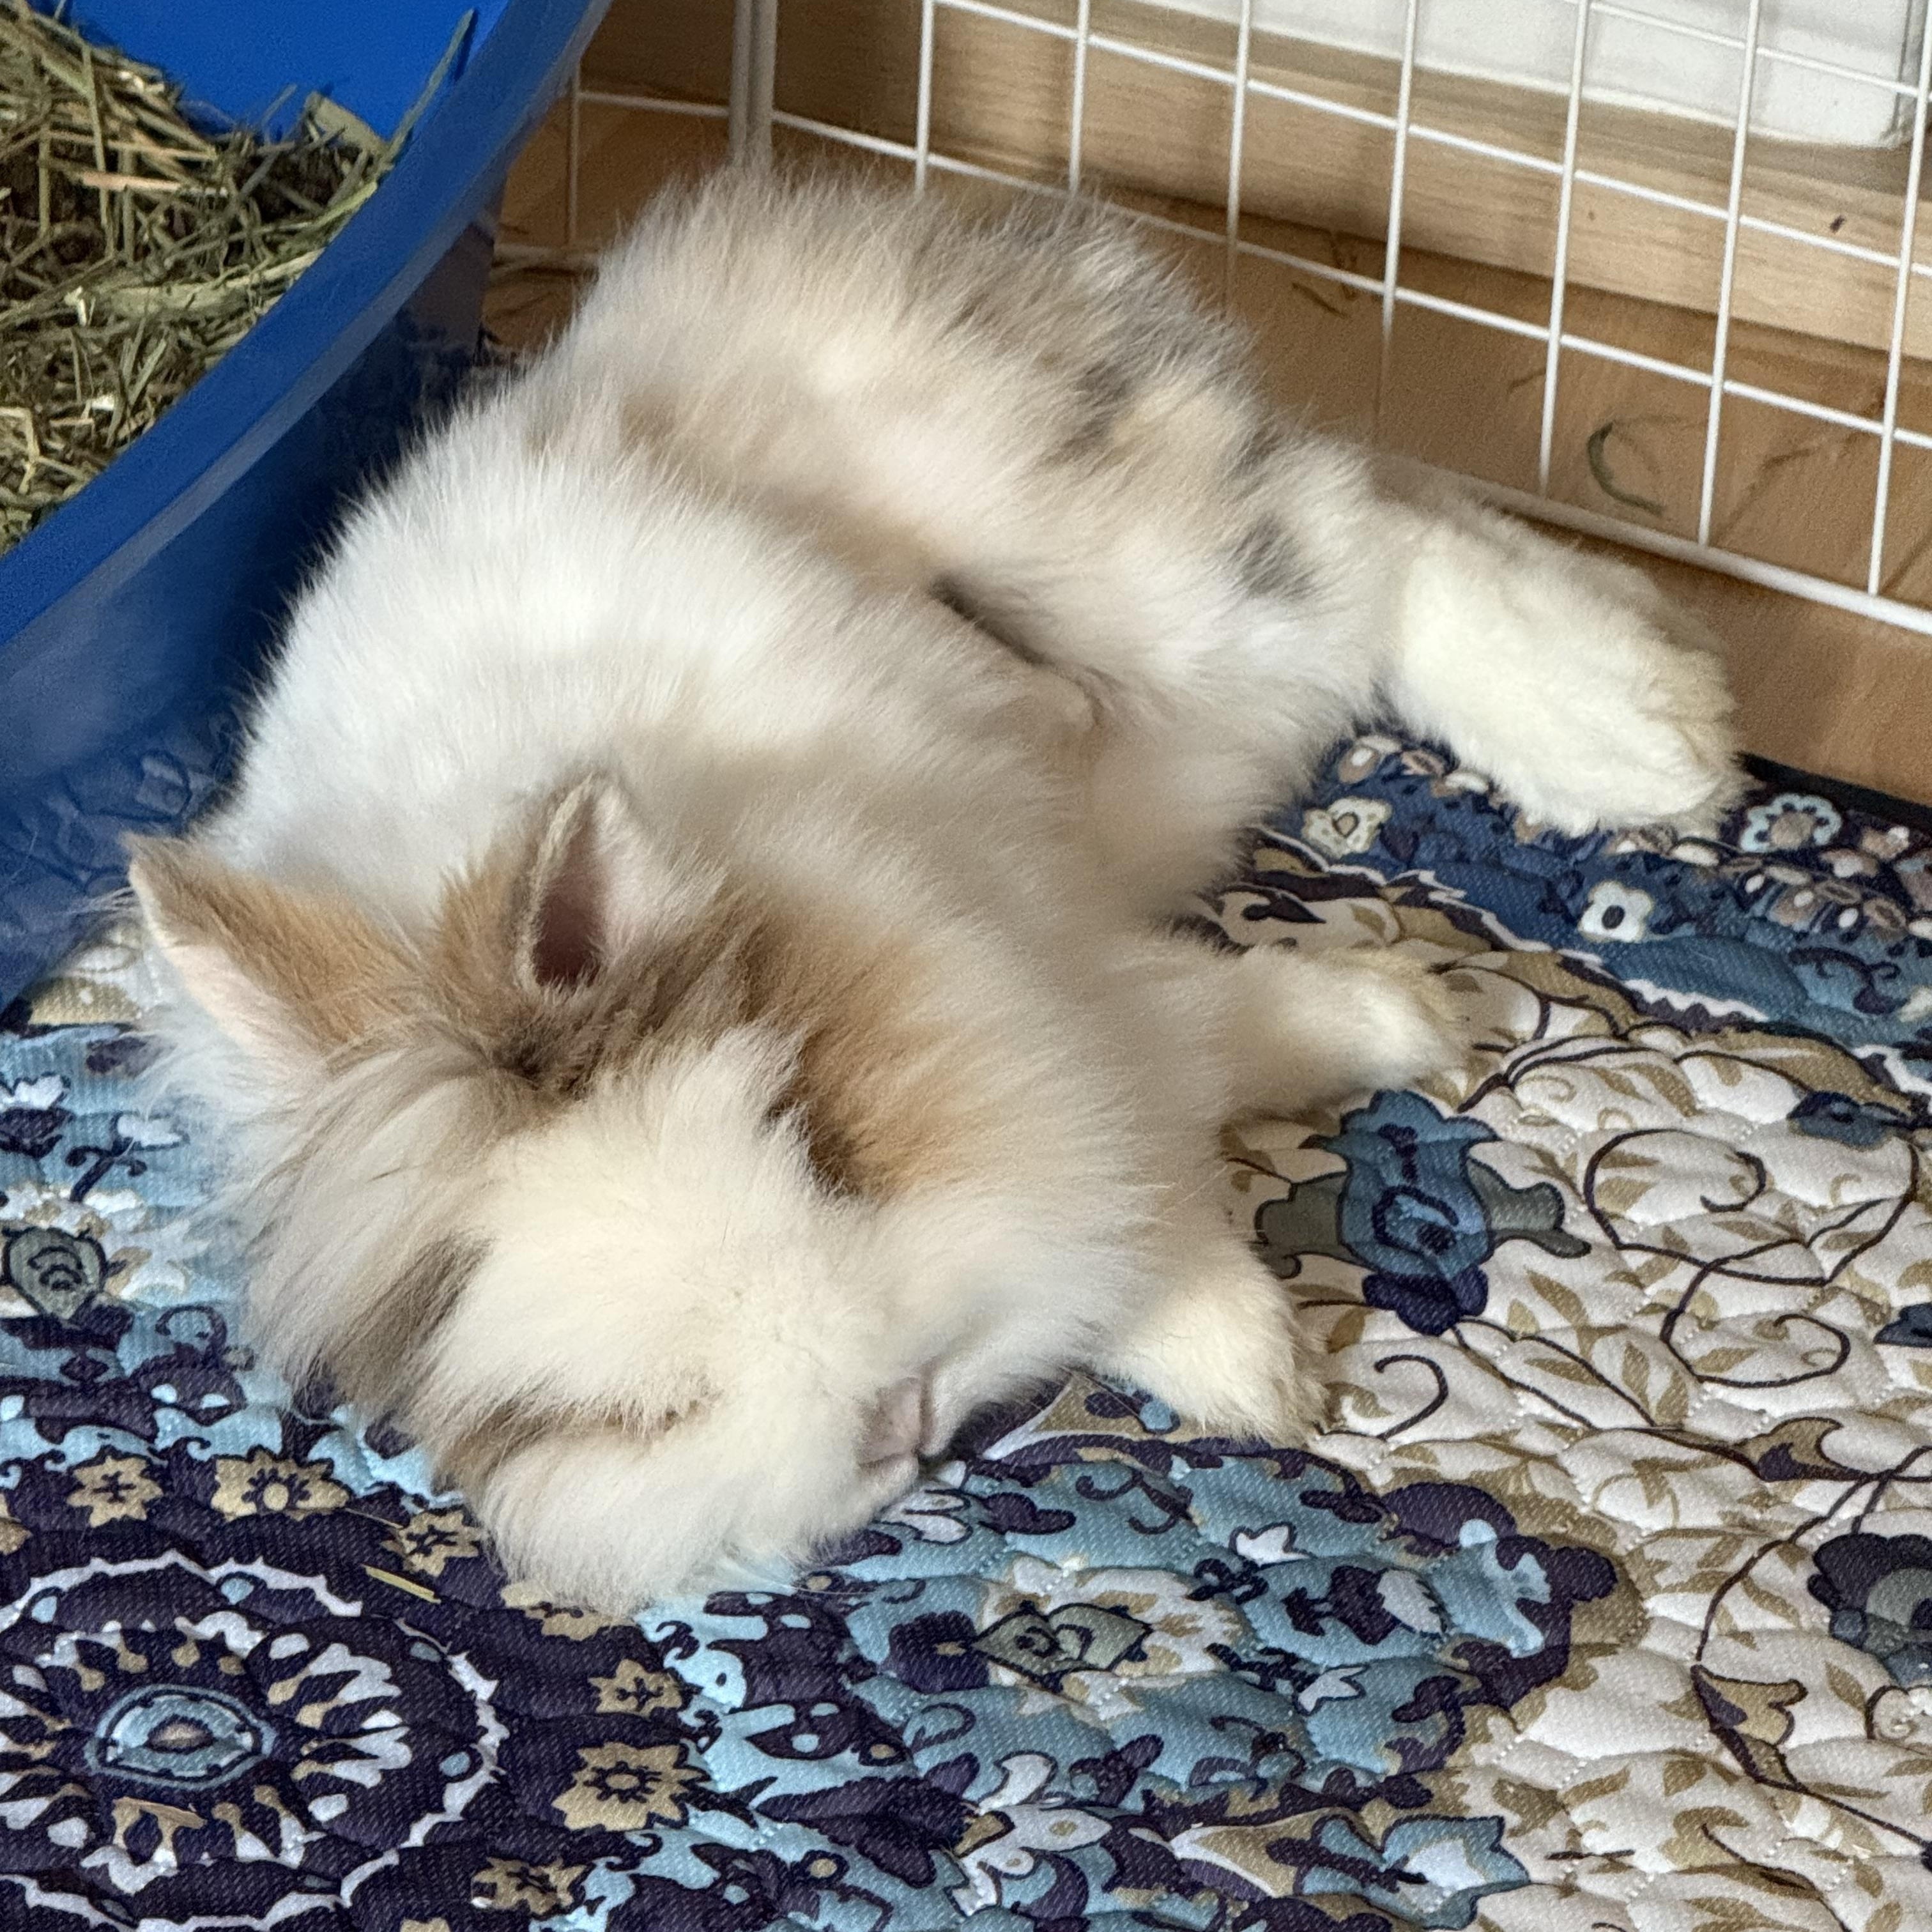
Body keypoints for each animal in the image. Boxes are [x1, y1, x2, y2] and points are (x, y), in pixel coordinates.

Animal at [126, 168, 1740, 1610]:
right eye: (632, 1414)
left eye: (824, 1150)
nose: (896, 1420)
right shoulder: (1041, 965)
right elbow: (1154, 1100)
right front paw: (1247, 1353)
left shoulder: (1022, 946)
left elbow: (1158, 1080)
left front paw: (1401, 1038)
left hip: (1115, 552)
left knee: (1371, 539)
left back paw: (1647, 739)